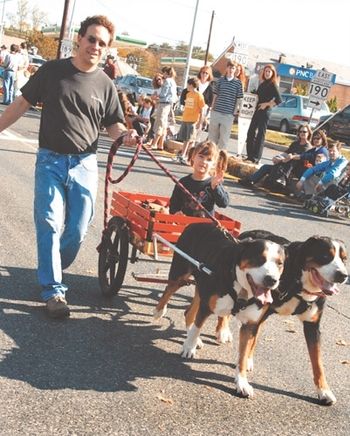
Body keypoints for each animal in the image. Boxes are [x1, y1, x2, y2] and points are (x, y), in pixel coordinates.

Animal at [235, 230, 348, 404]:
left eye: (344, 259)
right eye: (325, 256)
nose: (342, 275)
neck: (299, 286)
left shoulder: (312, 326)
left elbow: (318, 362)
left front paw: (324, 391)